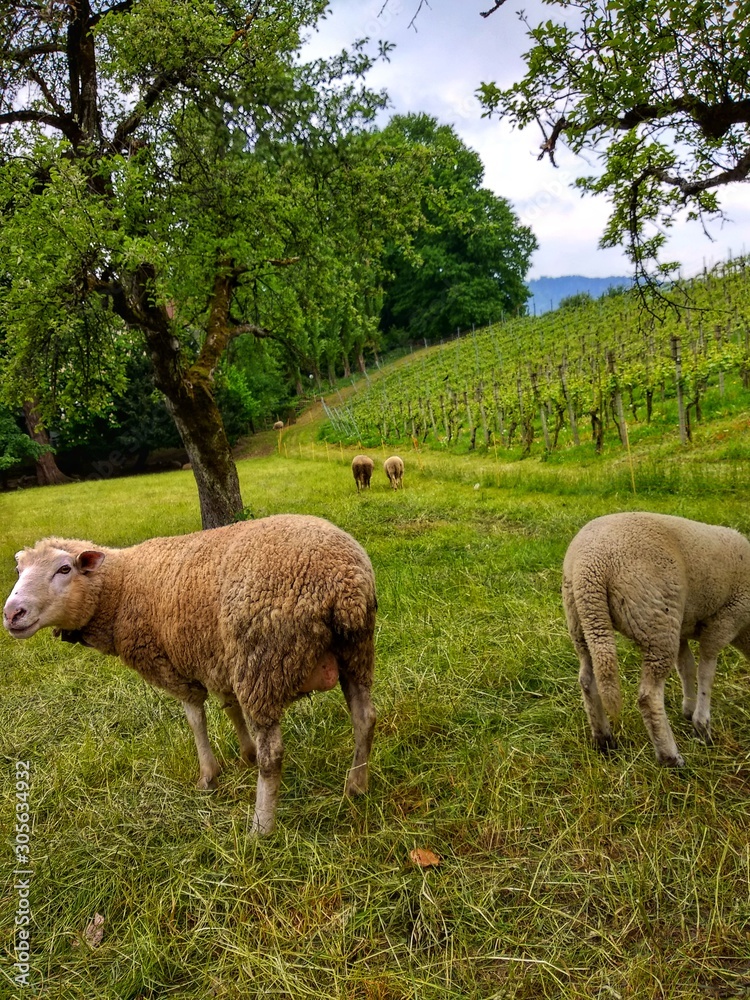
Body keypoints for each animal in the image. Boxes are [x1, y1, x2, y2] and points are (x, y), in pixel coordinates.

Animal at [3, 515, 377, 835]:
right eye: (19, 569)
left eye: (64, 569)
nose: (12, 613)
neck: (121, 588)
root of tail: (344, 581)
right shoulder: (216, 657)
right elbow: (230, 707)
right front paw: (245, 753)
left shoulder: (170, 665)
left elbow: (195, 718)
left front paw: (208, 776)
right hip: (354, 652)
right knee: (365, 718)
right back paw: (356, 786)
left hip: (262, 661)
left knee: (273, 754)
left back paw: (260, 828)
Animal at [562, 511, 750, 767]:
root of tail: (590, 565)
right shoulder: (725, 620)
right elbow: (706, 673)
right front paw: (701, 726)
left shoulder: (683, 628)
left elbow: (686, 667)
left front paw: (689, 709)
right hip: (657, 619)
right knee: (648, 697)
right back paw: (670, 757)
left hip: (584, 620)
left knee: (587, 680)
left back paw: (604, 742)